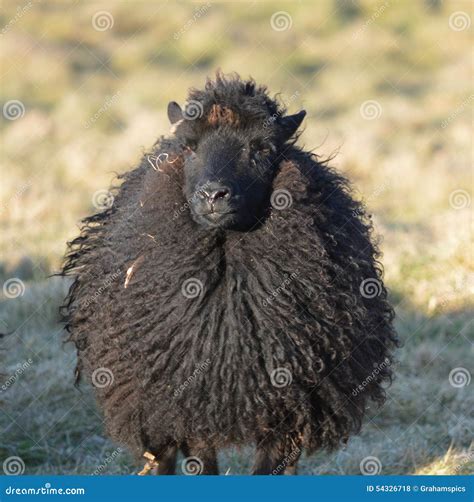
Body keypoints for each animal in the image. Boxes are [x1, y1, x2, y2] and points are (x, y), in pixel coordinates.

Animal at [61, 71, 398, 474]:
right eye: (190, 147)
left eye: (262, 148)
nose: (213, 195)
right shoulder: (189, 401)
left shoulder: (287, 407)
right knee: (162, 456)